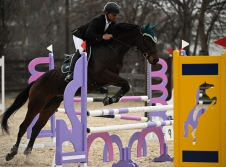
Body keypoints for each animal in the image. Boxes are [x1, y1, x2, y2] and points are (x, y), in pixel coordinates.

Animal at [0, 21, 159, 160]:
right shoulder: (102, 74)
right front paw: (111, 99)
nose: (155, 60)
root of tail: (36, 81)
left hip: (50, 106)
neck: (111, 49)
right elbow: (126, 84)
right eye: (147, 39)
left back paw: (27, 154)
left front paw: (110, 98)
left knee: (36, 129)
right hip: (36, 104)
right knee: (24, 126)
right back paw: (12, 154)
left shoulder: (109, 77)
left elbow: (125, 85)